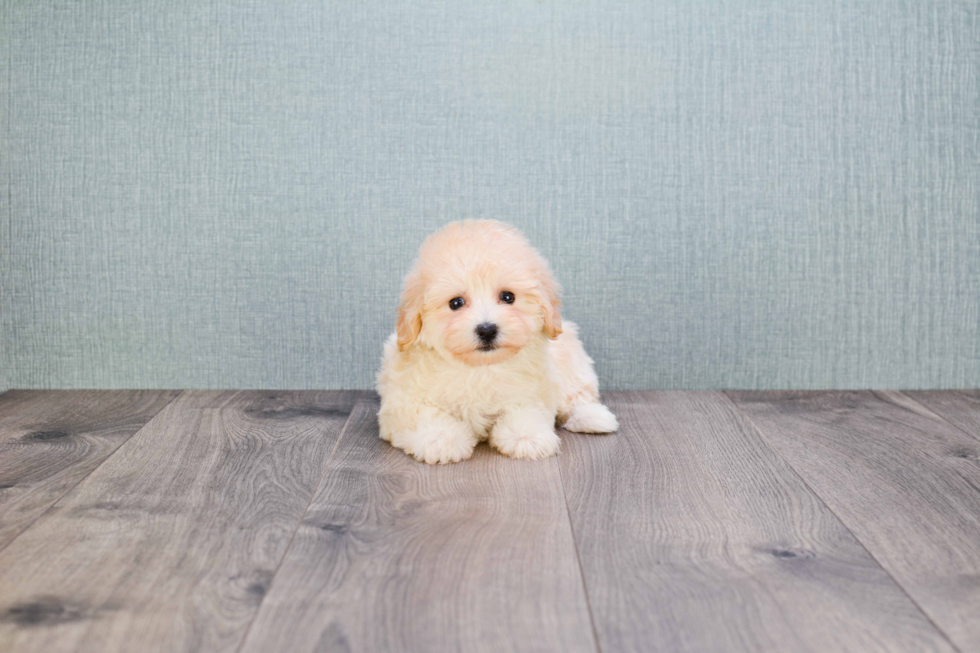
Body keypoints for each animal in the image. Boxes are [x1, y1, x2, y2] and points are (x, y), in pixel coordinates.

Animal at [378, 219, 616, 464]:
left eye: (508, 297)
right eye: (456, 303)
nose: (486, 330)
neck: (480, 368)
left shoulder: (533, 390)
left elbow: (526, 410)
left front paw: (527, 436)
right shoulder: (402, 402)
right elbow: (425, 415)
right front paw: (440, 439)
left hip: (571, 361)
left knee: (577, 394)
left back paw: (592, 417)